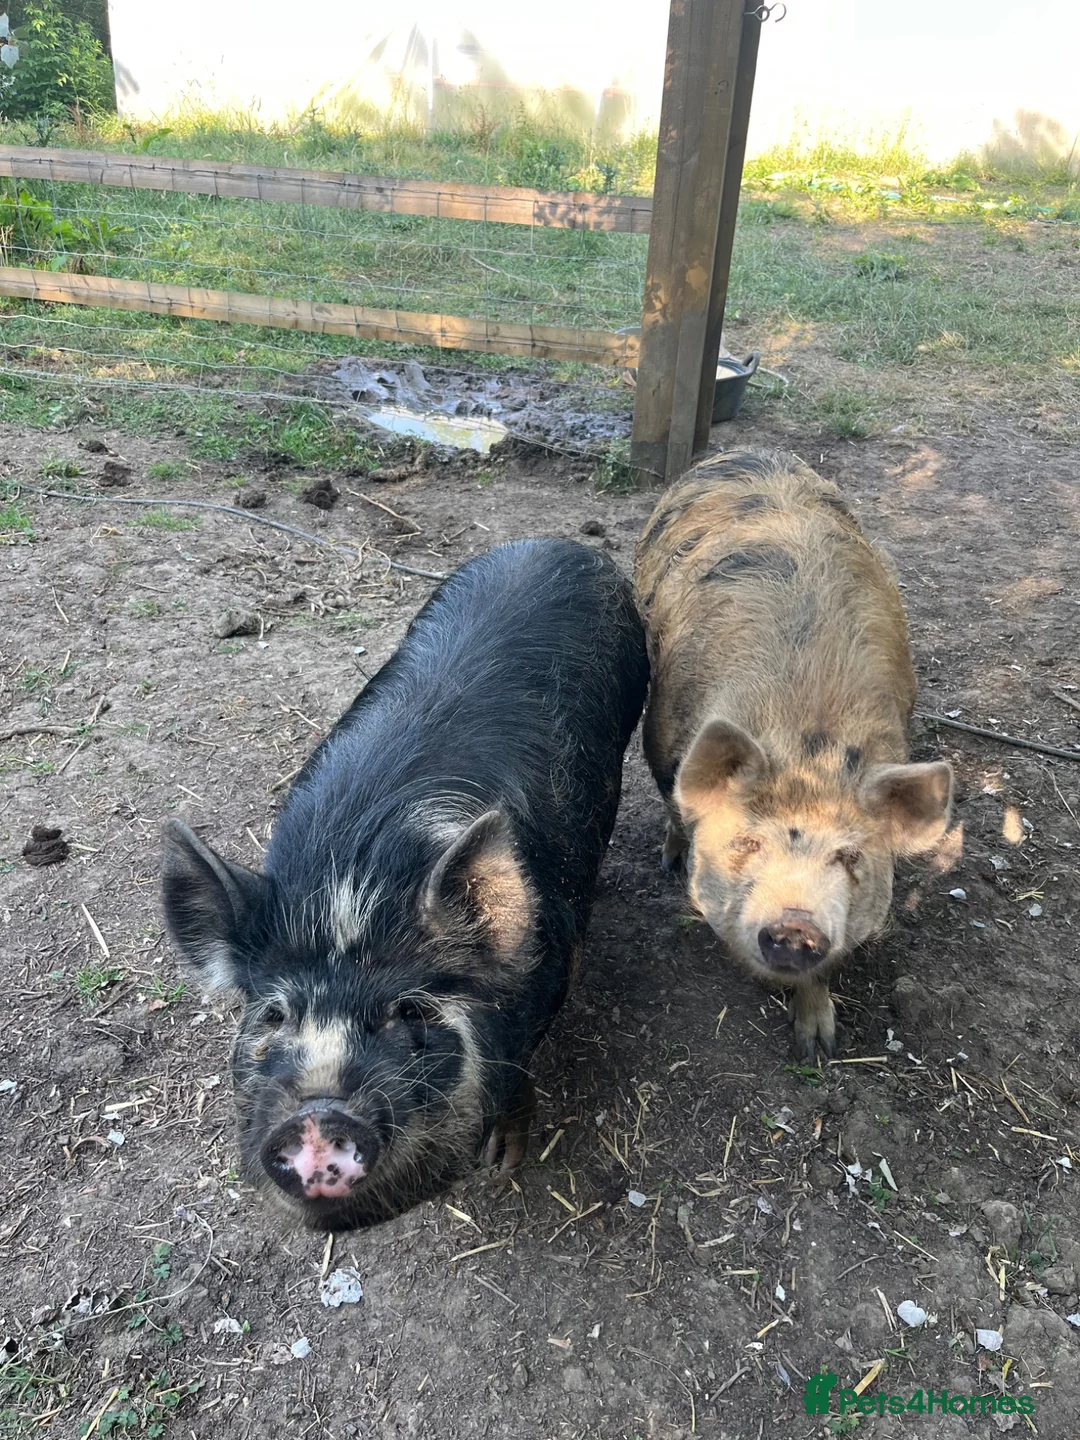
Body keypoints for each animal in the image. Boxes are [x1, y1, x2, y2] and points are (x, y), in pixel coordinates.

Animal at [162, 539, 648, 1230]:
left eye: (410, 1011)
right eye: (273, 1014)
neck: (349, 888)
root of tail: (563, 543)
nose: (317, 1119)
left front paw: (502, 1162)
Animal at [635, 449, 953, 1062]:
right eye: (747, 843)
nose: (796, 922)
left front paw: (817, 1049)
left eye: (849, 857)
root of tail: (746, 451)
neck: (812, 740)